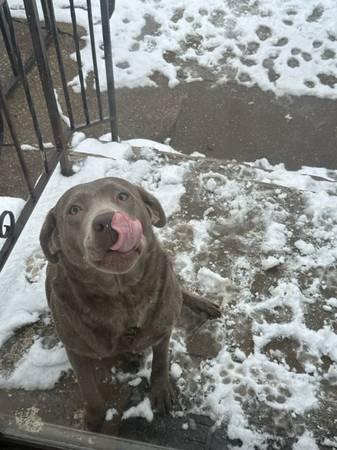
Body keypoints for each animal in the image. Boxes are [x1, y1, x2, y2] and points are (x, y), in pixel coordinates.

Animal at [39, 176, 219, 428]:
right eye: (74, 210)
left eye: (123, 196)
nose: (106, 222)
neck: (123, 296)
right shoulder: (75, 349)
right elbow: (89, 389)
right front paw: (94, 419)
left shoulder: (163, 328)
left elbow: (161, 360)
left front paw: (160, 390)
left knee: (180, 291)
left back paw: (202, 303)